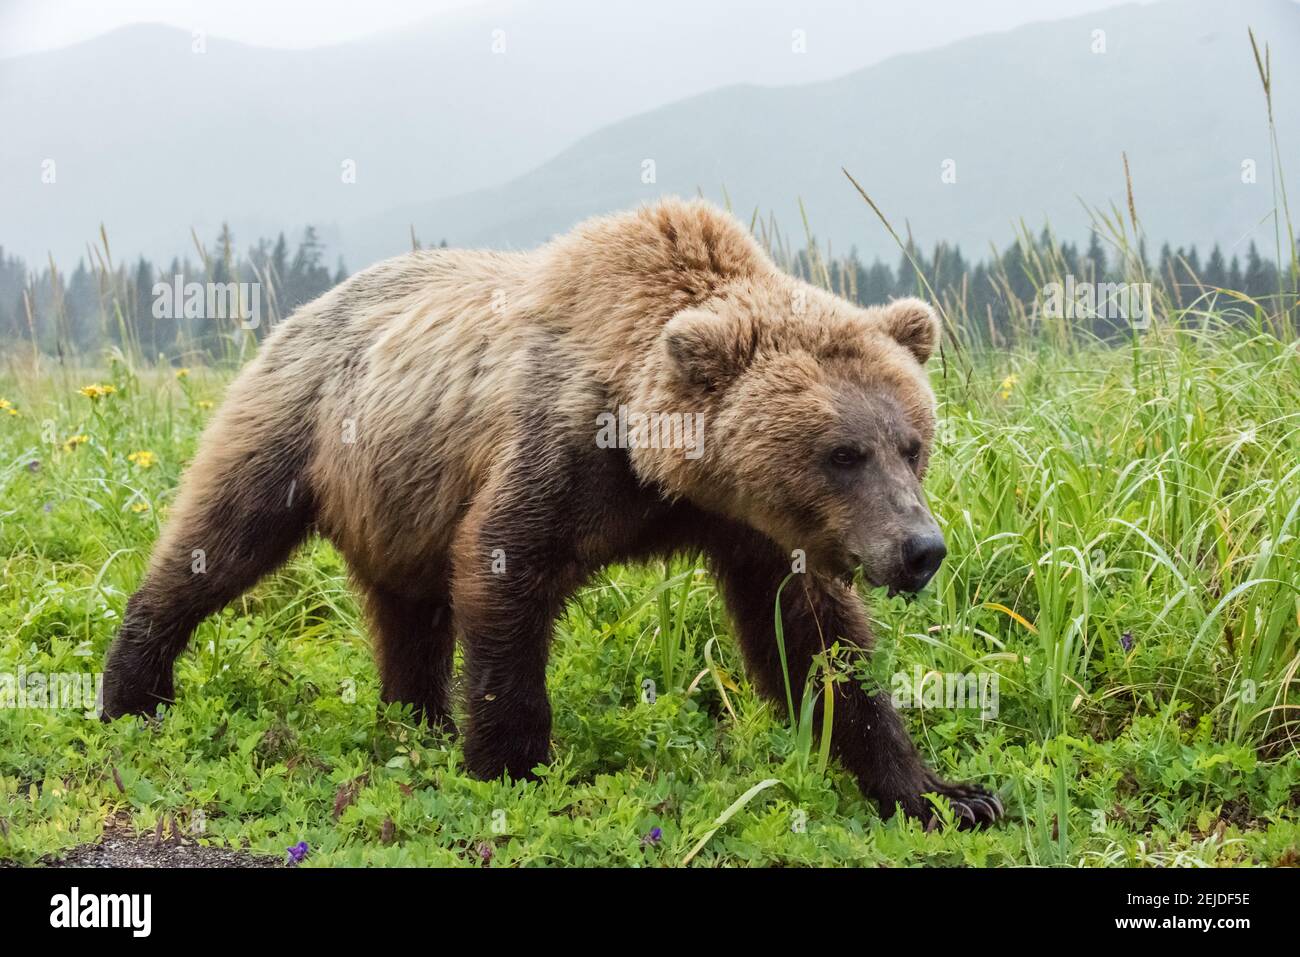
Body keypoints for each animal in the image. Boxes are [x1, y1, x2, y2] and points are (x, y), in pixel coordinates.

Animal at [106, 197, 1003, 826]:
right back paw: (133, 691)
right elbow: (507, 566)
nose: (920, 547)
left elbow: (816, 640)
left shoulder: (756, 527)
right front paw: (514, 763)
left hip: (401, 490)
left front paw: (946, 793)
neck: (664, 465)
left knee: (408, 611)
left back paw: (418, 720)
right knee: (220, 540)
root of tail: (306, 305)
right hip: (301, 426)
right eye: (842, 453)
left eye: (912, 443)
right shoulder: (563, 449)